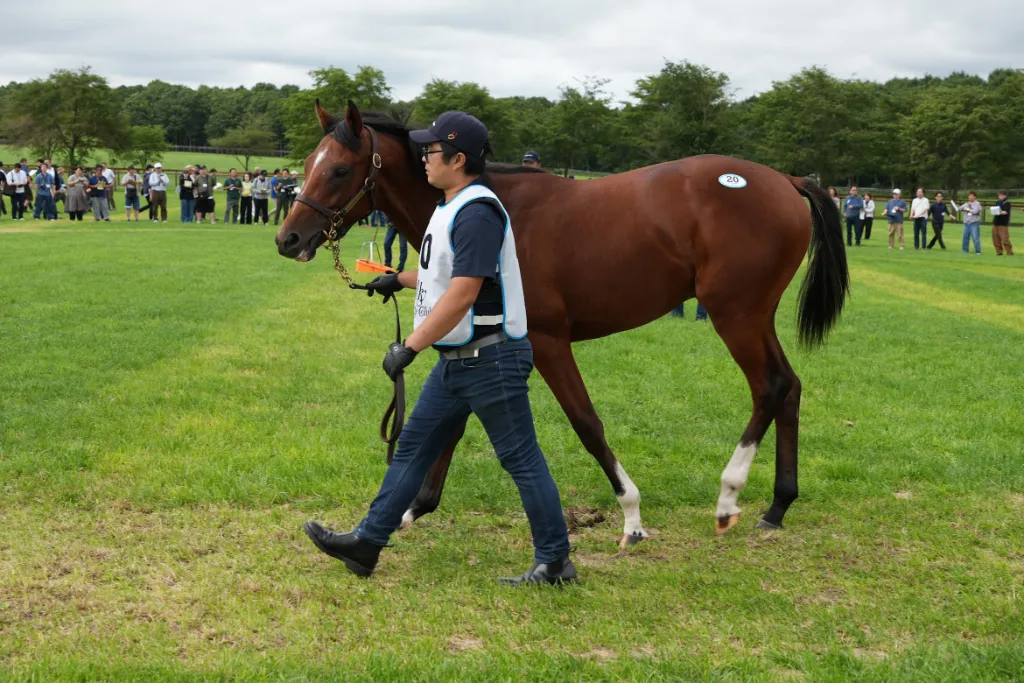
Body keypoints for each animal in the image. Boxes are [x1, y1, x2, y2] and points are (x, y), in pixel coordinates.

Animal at [275, 101, 849, 548]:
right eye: (308, 163)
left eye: (340, 170)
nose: (288, 239)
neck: (494, 209)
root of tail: (784, 179)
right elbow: (450, 425)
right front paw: (415, 508)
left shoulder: (546, 342)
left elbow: (586, 424)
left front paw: (631, 515)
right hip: (755, 317)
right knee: (790, 387)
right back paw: (777, 506)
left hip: (736, 314)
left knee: (769, 388)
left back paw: (729, 498)